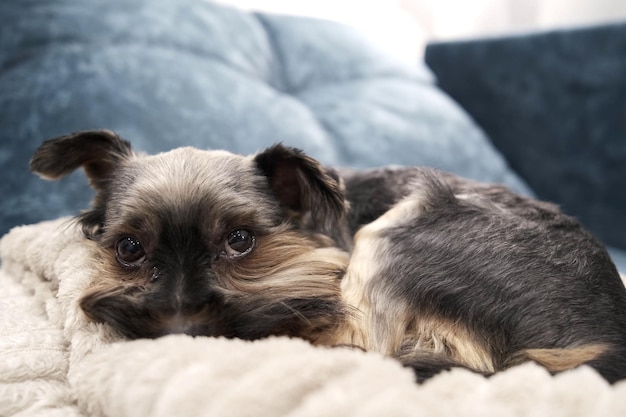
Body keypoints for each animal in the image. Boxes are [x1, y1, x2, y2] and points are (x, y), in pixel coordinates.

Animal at [29, 132, 624, 382]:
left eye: (240, 240)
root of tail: (606, 346)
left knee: (367, 347)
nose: (180, 331)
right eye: (129, 249)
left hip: (400, 232)